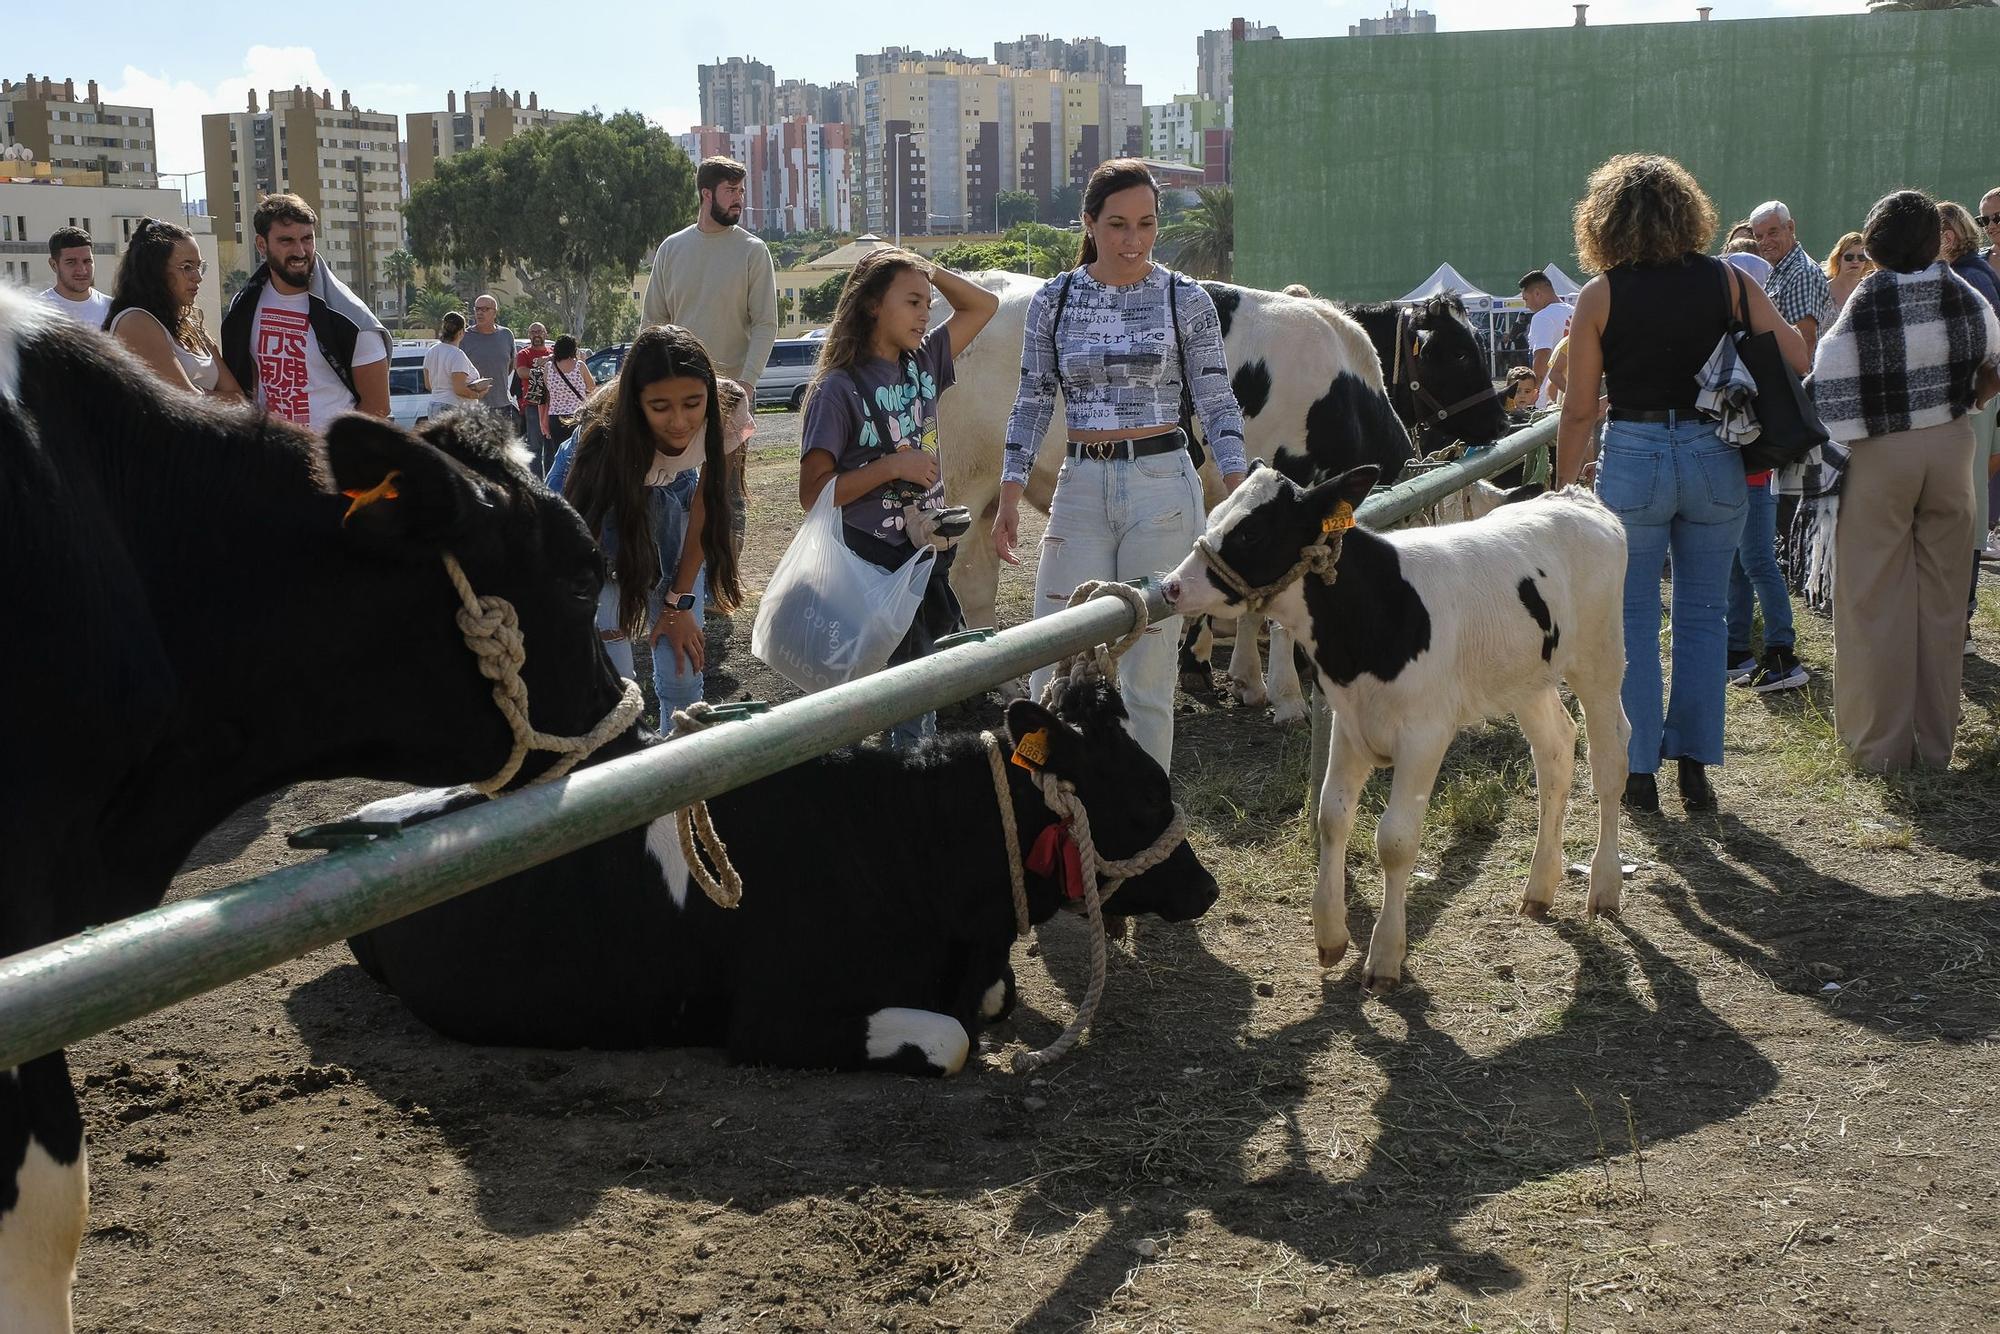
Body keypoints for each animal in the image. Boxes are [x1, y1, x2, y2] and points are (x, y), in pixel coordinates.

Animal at [1168, 470, 1632, 992]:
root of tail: (1576, 497)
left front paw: (1386, 955)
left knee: (1609, 758)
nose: (1170, 587)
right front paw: (1330, 934)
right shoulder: (1349, 725)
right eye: (1215, 515)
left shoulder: (1424, 736)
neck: (1378, 611)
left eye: (1251, 532)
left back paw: (1604, 884)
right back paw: (1540, 886)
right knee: (1555, 750)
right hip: (1526, 680)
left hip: (1599, 659)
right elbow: (1332, 817)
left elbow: (1394, 840)